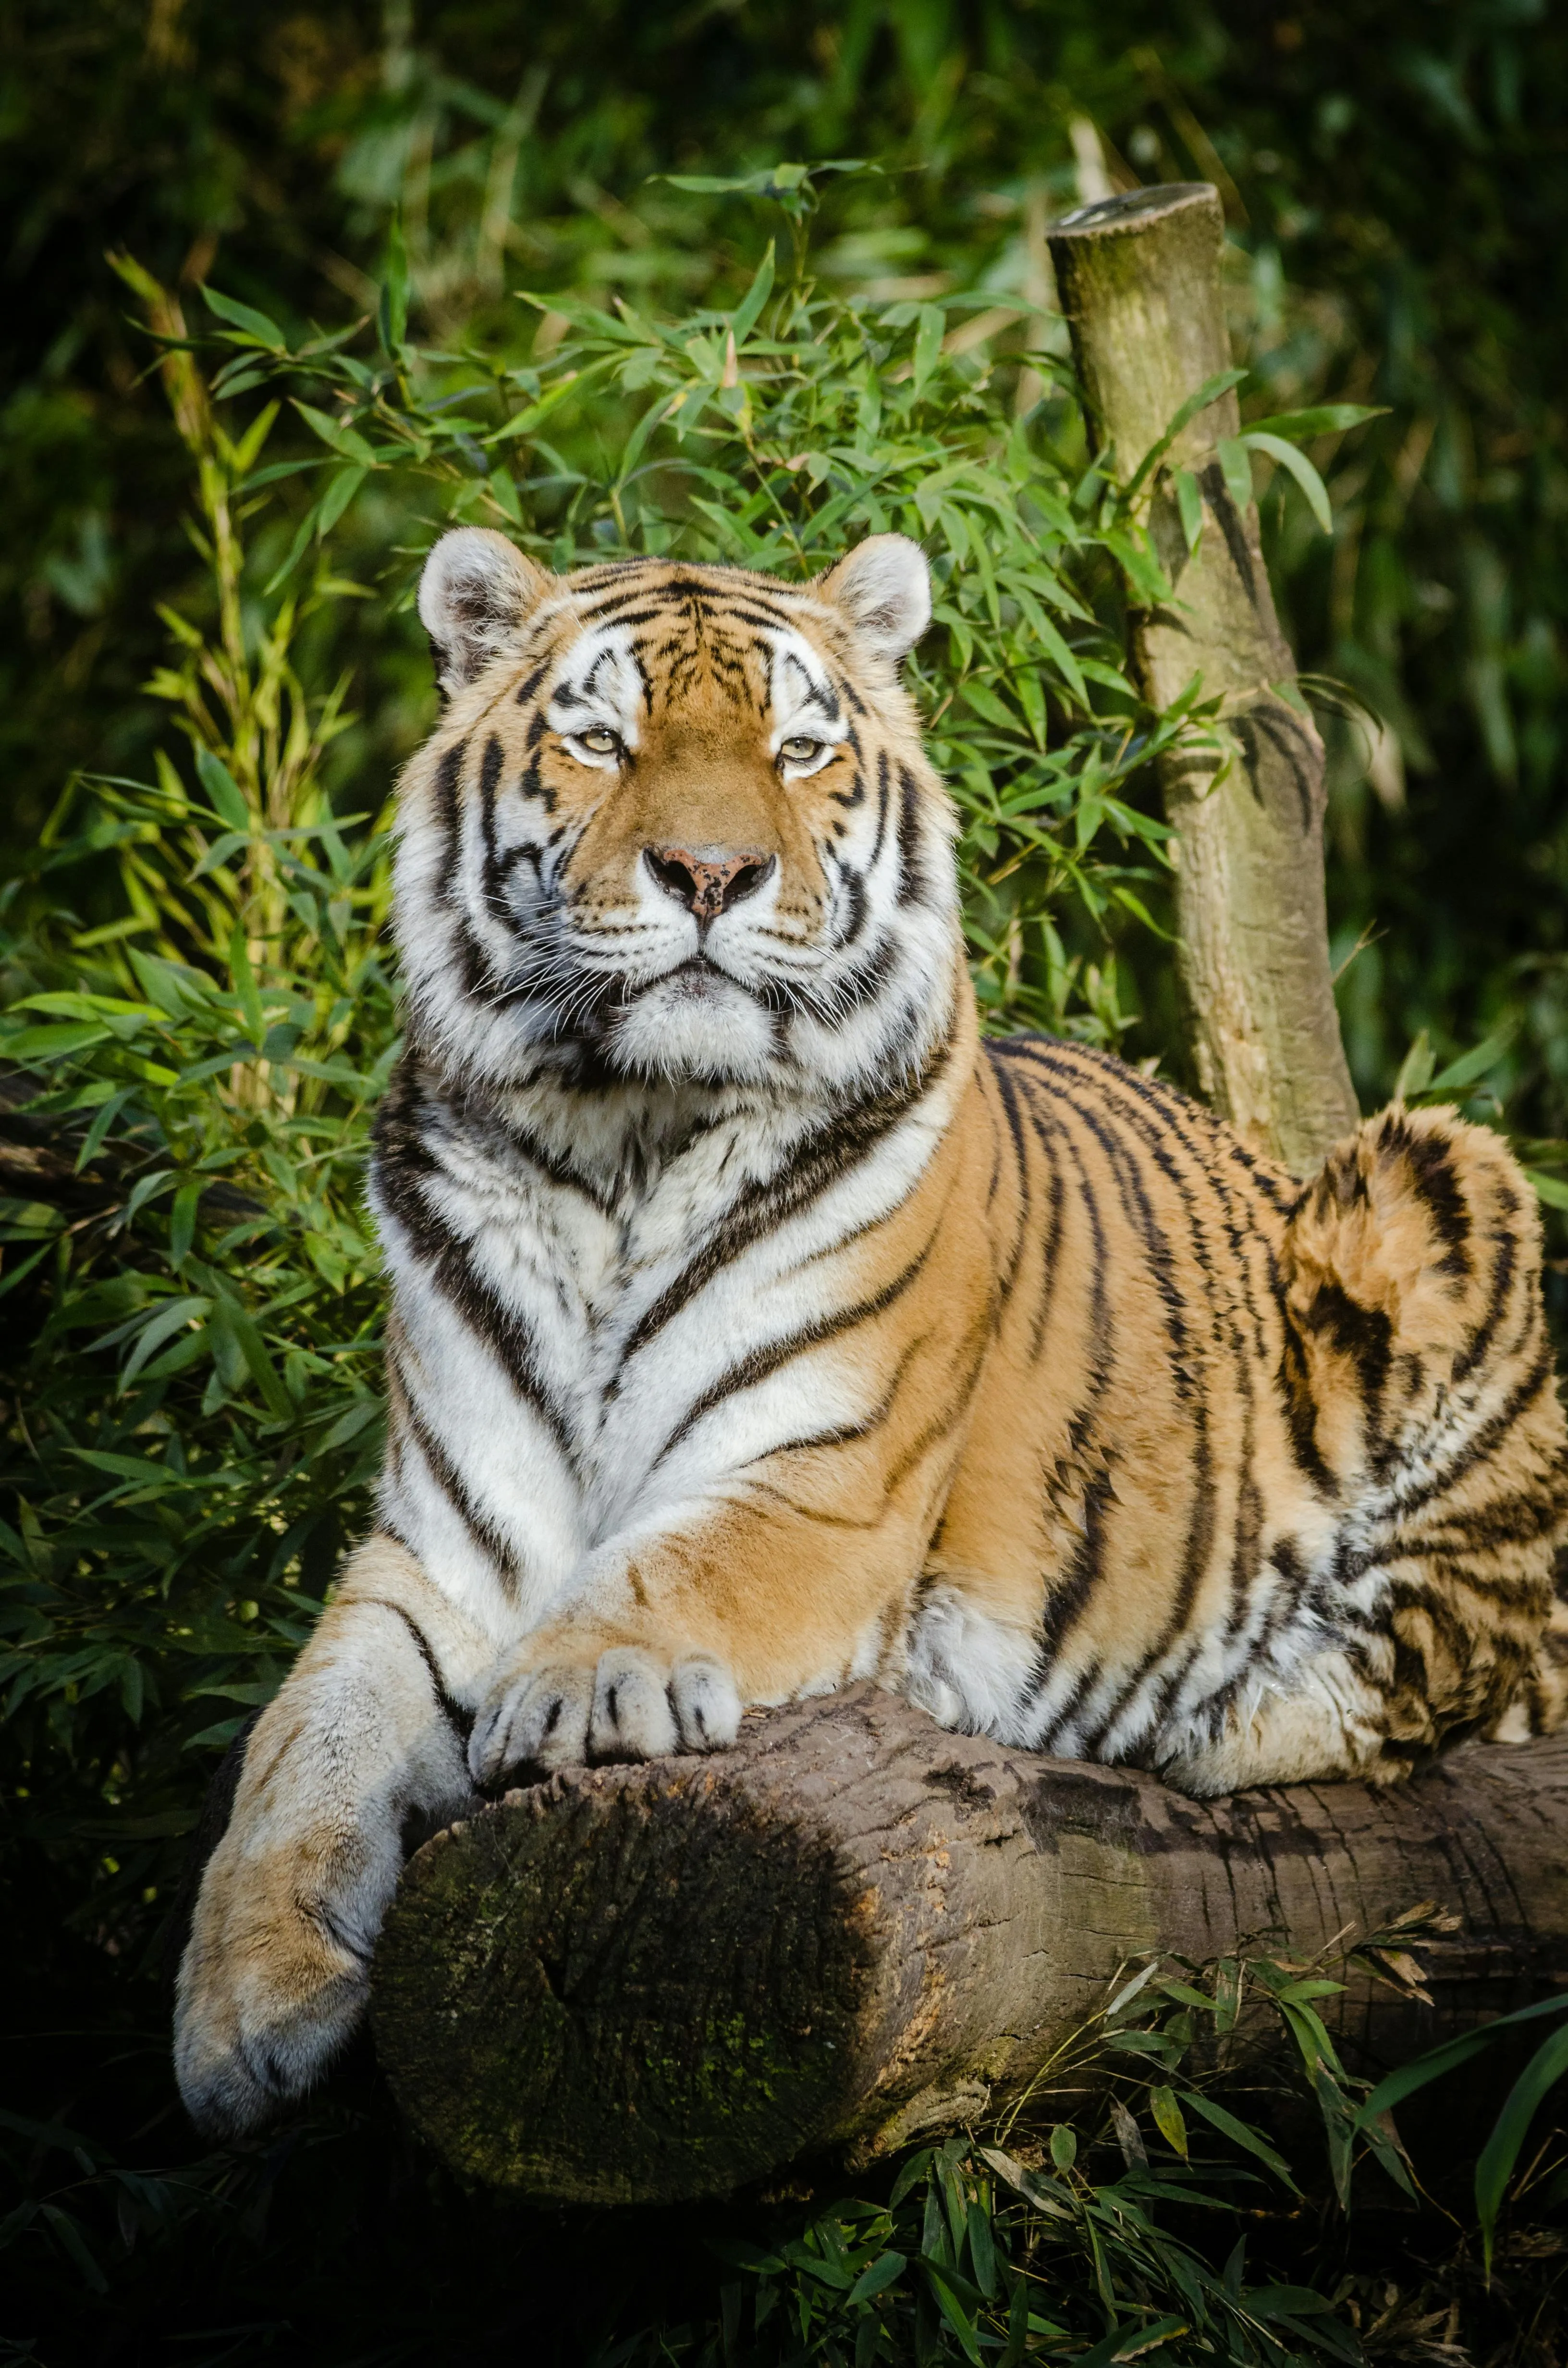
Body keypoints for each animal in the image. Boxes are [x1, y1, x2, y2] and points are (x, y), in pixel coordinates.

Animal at [174, 525, 1568, 2137]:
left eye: (798, 749)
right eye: (602, 740)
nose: (712, 873)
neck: (618, 1140)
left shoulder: (821, 1485)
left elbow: (668, 1563)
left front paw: (575, 1687)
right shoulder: (441, 1548)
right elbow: (299, 1741)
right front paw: (244, 2006)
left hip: (1438, 1182)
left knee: (1439, 1672)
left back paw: (1224, 1717)